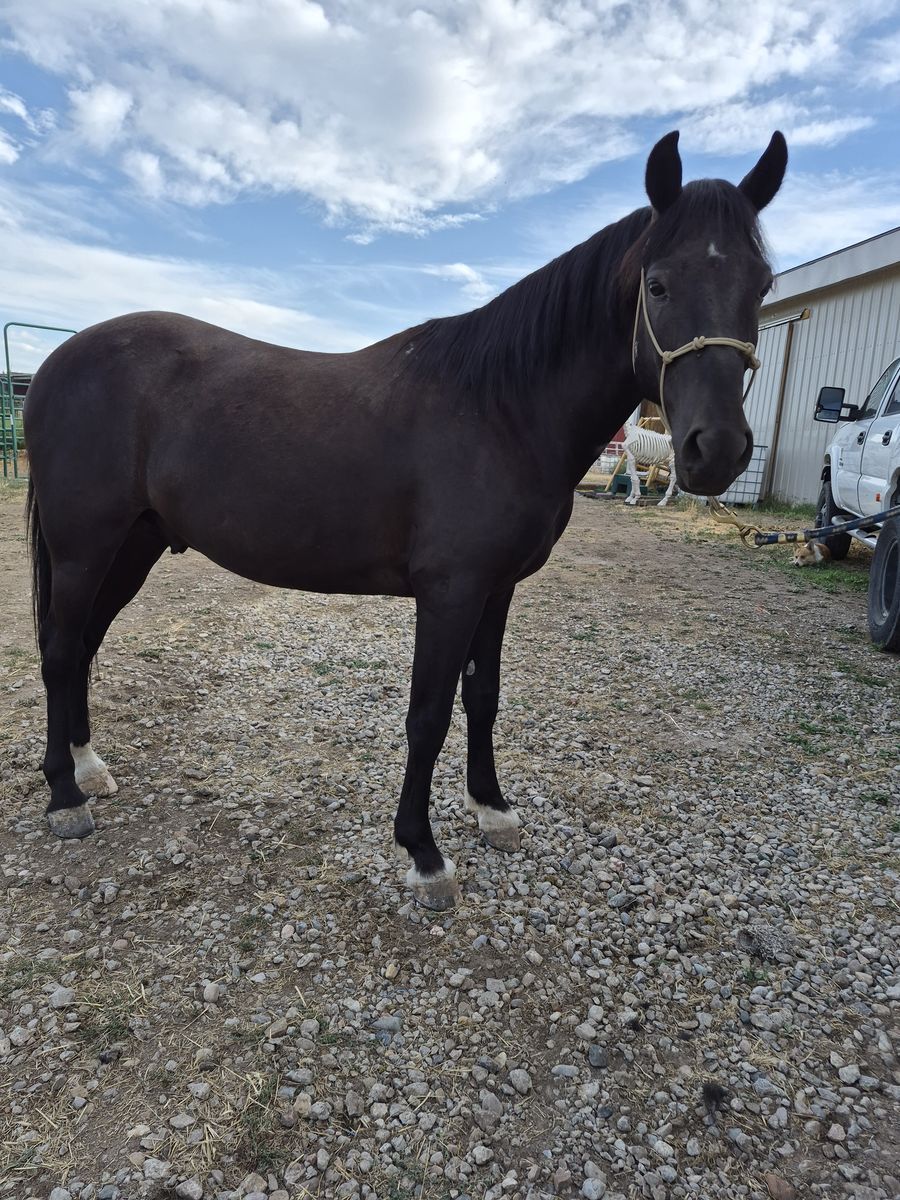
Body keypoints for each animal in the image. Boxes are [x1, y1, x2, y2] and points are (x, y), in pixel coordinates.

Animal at [24, 129, 786, 909]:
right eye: (658, 285)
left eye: (761, 286)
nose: (717, 450)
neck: (500, 408)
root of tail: (54, 363)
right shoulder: (449, 591)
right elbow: (429, 714)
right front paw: (423, 852)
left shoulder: (497, 588)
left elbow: (483, 696)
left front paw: (492, 809)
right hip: (84, 547)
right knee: (58, 650)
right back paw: (65, 798)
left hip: (132, 545)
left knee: (82, 647)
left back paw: (88, 767)